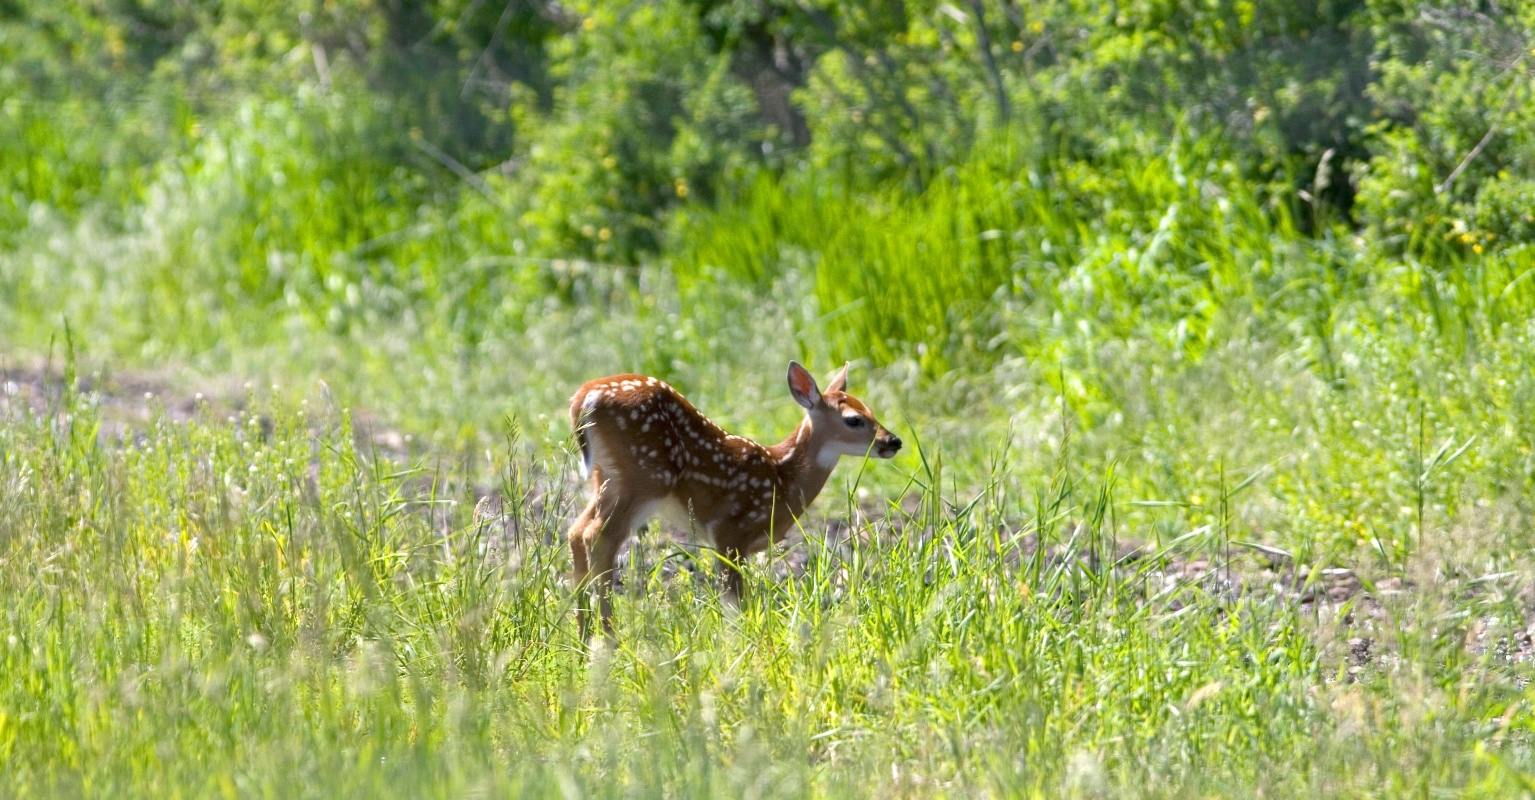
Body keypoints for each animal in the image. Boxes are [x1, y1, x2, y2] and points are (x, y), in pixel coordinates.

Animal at [566, 361, 902, 638]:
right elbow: (734, 602)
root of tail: (585, 396)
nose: (894, 441)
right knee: (599, 536)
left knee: (576, 531)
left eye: (871, 411)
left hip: (607, 478)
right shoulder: (731, 531)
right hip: (645, 479)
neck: (783, 477)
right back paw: (608, 637)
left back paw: (583, 636)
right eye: (854, 419)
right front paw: (737, 641)